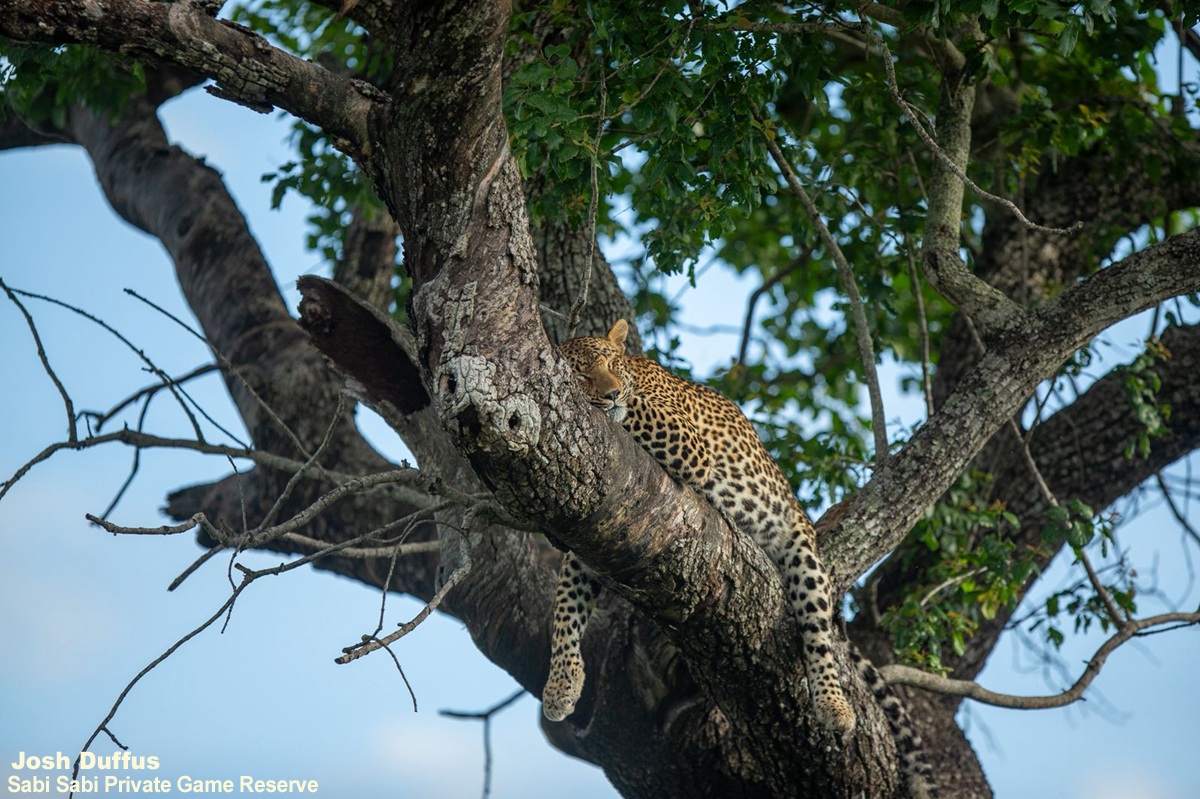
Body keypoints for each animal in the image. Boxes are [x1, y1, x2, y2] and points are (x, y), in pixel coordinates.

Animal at [542, 319, 936, 797]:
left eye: (611, 365)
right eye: (582, 372)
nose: (612, 392)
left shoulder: (686, 441)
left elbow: (634, 410)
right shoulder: (592, 533)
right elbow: (566, 608)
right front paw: (561, 685)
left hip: (803, 552)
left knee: (819, 634)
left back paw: (834, 704)